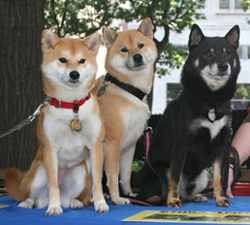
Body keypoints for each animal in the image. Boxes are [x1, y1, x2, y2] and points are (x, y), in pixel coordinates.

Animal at [4, 29, 109, 214]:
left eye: (82, 61)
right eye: (63, 59)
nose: (74, 74)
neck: (71, 106)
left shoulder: (95, 145)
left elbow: (97, 182)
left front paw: (101, 203)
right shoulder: (50, 147)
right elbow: (53, 183)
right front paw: (54, 207)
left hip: (80, 172)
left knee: (68, 197)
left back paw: (75, 202)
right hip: (37, 172)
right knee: (33, 196)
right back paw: (28, 203)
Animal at [94, 17, 158, 204]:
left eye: (140, 45)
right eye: (124, 50)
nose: (137, 57)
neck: (128, 89)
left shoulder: (130, 145)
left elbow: (125, 176)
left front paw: (129, 193)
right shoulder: (113, 142)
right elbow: (113, 175)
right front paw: (118, 198)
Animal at [133, 24, 240, 207]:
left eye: (227, 54)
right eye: (208, 54)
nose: (223, 66)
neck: (210, 102)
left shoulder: (220, 146)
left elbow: (219, 178)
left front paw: (220, 198)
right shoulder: (181, 144)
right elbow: (175, 178)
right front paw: (173, 200)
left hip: (204, 175)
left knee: (187, 193)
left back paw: (195, 196)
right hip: (162, 171)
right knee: (146, 195)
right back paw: (162, 199)